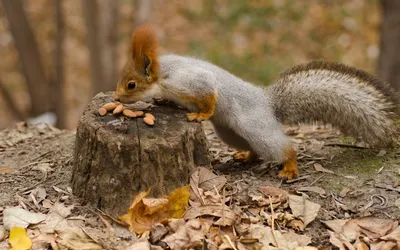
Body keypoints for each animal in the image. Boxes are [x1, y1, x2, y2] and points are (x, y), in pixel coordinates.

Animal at [114, 23, 398, 180]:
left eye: (131, 84)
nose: (116, 97)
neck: (162, 73)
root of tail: (267, 102)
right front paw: (163, 102)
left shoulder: (187, 81)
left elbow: (209, 94)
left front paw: (201, 114)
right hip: (230, 133)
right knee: (252, 149)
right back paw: (246, 156)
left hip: (256, 127)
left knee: (282, 148)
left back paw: (290, 167)